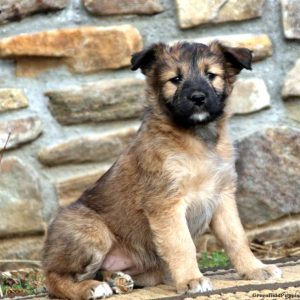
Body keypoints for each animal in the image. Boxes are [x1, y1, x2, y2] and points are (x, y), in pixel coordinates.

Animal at [42, 41, 282, 298]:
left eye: (211, 75)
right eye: (175, 79)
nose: (198, 98)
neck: (196, 138)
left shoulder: (222, 197)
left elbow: (236, 238)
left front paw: (255, 269)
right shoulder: (166, 202)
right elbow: (182, 244)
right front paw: (191, 280)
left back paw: (117, 279)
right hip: (92, 230)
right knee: (54, 279)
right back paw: (91, 287)